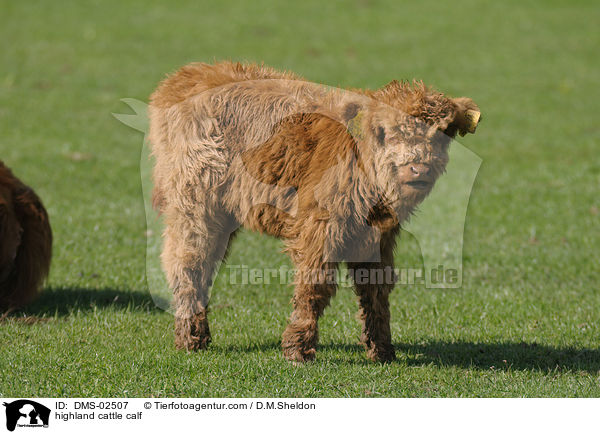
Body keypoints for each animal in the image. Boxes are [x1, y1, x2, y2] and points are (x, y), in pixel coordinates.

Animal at [150, 61, 482, 362]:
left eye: (441, 135)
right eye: (389, 133)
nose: (418, 168)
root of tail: (187, 75)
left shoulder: (378, 238)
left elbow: (376, 290)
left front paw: (382, 349)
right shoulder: (319, 227)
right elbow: (314, 286)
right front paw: (297, 348)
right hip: (194, 206)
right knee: (187, 263)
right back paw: (191, 337)